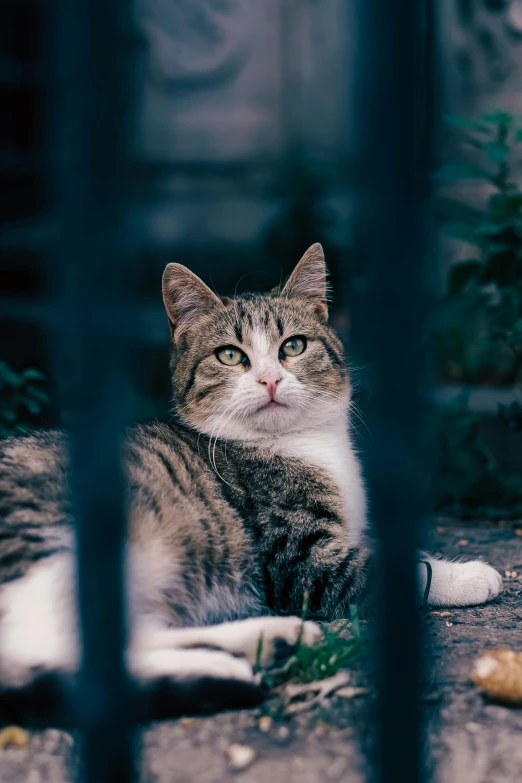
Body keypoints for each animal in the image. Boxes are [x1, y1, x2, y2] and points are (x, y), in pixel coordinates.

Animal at [0, 243, 500, 724]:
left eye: (293, 346)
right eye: (229, 355)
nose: (270, 378)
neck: (299, 444)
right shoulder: (294, 558)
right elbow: (377, 568)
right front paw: (469, 575)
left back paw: (268, 641)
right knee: (46, 647)